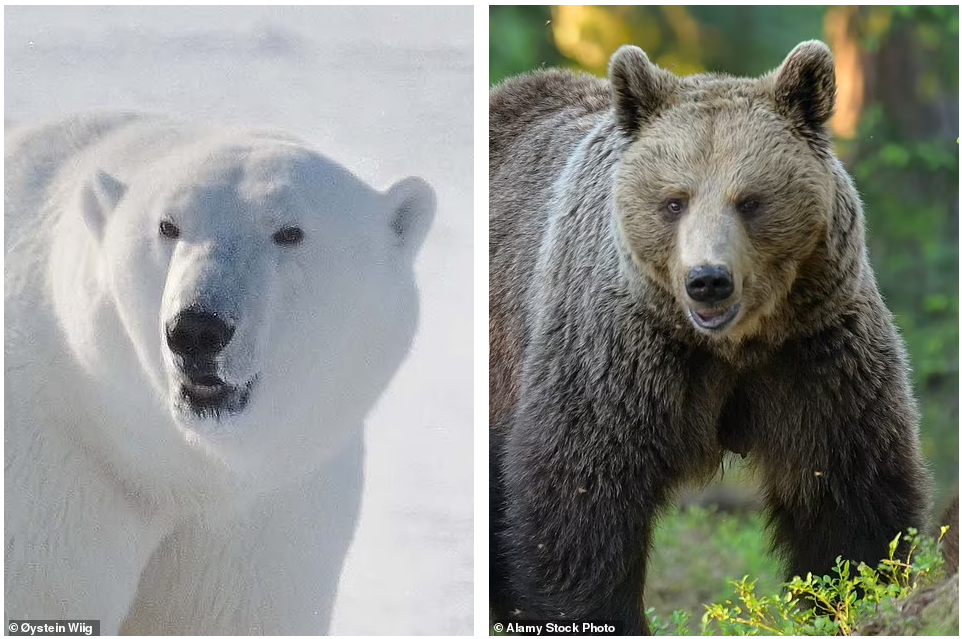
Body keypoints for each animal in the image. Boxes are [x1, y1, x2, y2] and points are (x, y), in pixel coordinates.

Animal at [488, 41, 928, 636]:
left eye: (750, 200)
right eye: (674, 200)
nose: (708, 280)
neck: (733, 346)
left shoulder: (816, 352)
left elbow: (848, 494)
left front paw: (856, 595)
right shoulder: (617, 353)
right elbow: (581, 499)